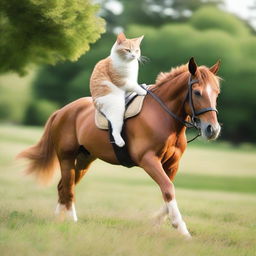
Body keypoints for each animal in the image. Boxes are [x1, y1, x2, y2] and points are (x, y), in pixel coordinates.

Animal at [19, 57, 221, 237]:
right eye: (197, 93)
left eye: (217, 93)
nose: (213, 129)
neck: (163, 117)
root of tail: (62, 111)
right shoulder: (148, 160)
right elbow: (168, 189)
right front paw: (181, 228)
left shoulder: (172, 164)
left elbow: (168, 190)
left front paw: (156, 223)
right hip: (67, 157)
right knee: (68, 187)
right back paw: (71, 220)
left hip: (84, 160)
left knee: (64, 186)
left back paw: (59, 218)